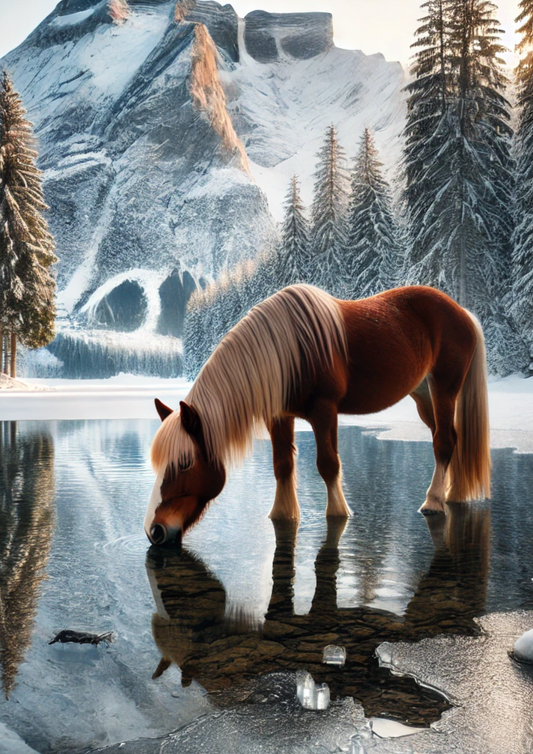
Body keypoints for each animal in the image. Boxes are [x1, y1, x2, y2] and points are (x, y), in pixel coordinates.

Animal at [145, 284, 490, 546]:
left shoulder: (324, 411)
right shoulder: (278, 416)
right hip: (422, 394)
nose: (154, 531)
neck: (288, 352)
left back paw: (433, 502)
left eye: (184, 463)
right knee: (450, 437)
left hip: (444, 388)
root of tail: (462, 311)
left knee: (443, 442)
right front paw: (282, 514)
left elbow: (327, 464)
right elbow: (282, 465)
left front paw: (338, 513)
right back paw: (453, 495)